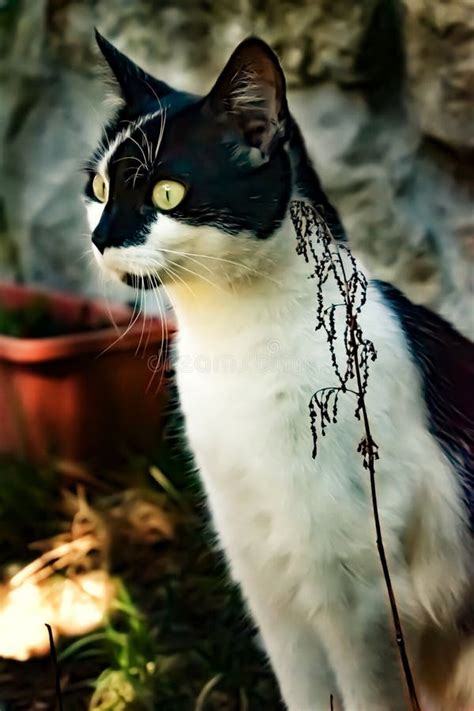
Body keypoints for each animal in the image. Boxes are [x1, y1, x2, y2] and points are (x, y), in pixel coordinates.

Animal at [85, 33, 474, 711]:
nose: (102, 237)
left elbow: (367, 696)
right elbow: (303, 692)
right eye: (101, 189)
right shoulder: (264, 584)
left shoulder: (358, 602)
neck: (230, 345)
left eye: (167, 194)